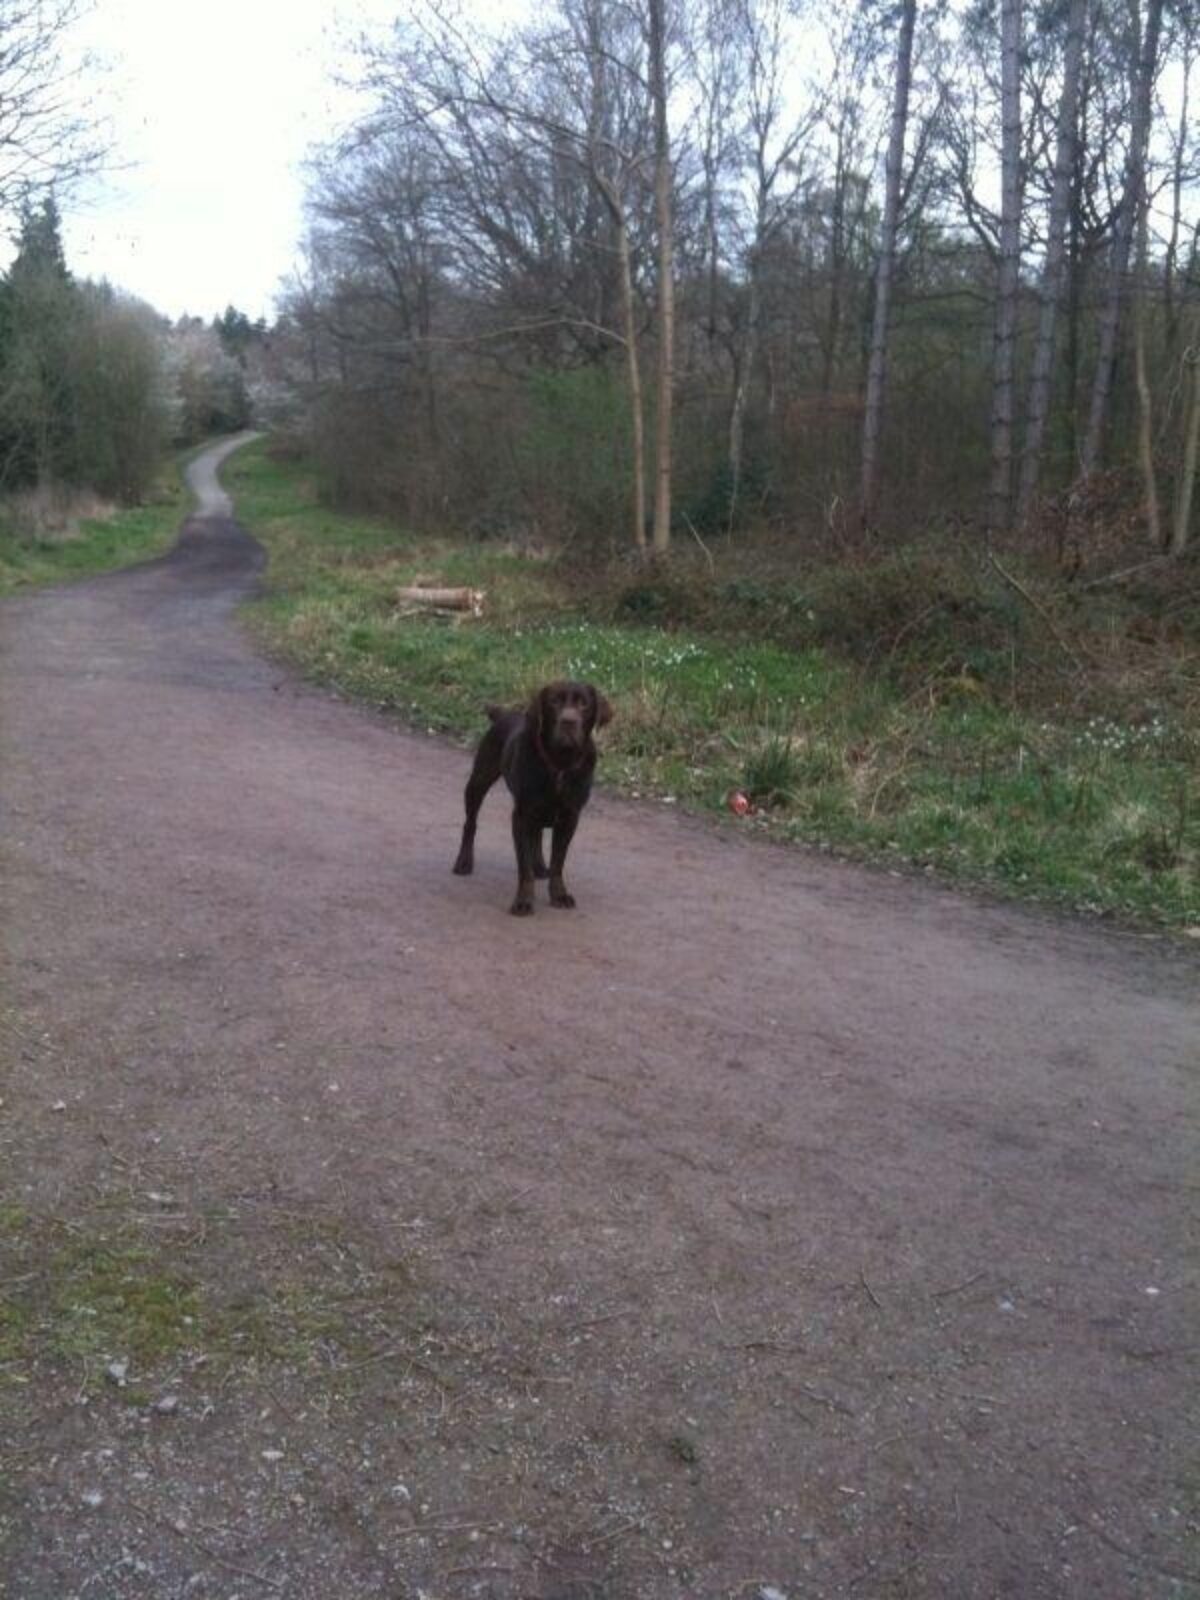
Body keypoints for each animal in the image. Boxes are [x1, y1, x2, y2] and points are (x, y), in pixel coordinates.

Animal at [454, 681, 614, 921]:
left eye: (584, 704)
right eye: (554, 701)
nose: (568, 721)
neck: (560, 763)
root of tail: (503, 713)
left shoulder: (570, 818)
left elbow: (558, 862)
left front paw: (559, 894)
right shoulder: (521, 816)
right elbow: (524, 867)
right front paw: (523, 901)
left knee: (537, 836)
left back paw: (540, 867)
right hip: (479, 781)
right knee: (470, 823)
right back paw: (464, 862)